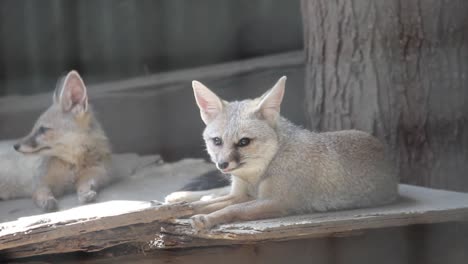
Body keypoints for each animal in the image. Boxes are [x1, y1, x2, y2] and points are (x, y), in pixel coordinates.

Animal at [0, 70, 111, 210]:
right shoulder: (41, 183)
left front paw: (85, 193)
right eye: (34, 128)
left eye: (43, 129)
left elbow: (86, 184)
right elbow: (42, 192)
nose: (15, 146)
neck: (73, 166)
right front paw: (46, 201)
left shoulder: (99, 174)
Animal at [165, 76, 398, 231]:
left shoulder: (276, 202)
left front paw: (207, 219)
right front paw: (176, 210)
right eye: (217, 141)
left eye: (244, 142)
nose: (222, 165)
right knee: (211, 193)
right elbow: (199, 204)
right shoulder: (241, 194)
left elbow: (232, 210)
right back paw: (178, 197)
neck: (258, 174)